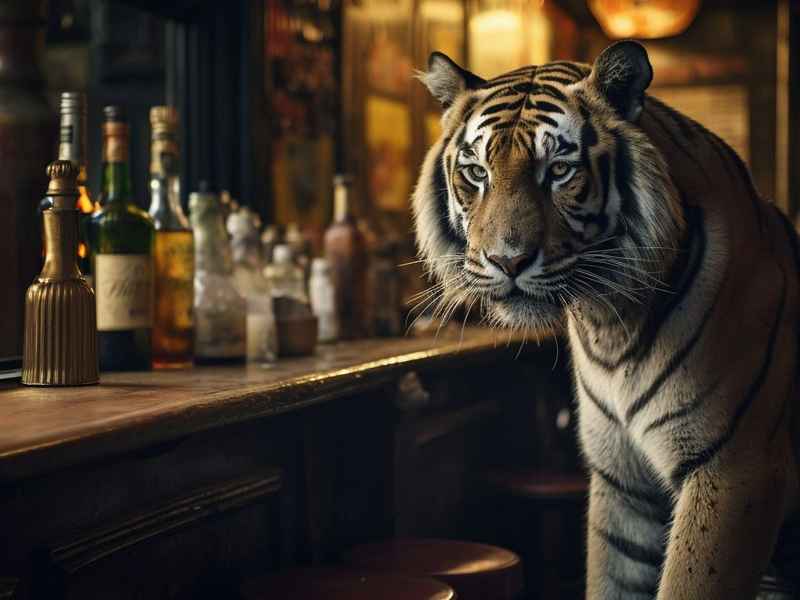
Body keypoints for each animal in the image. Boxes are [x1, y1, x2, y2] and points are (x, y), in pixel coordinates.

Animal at [412, 40, 800, 599]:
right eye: (477, 173)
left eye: (558, 171)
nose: (507, 260)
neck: (610, 322)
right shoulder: (621, 480)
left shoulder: (733, 467)